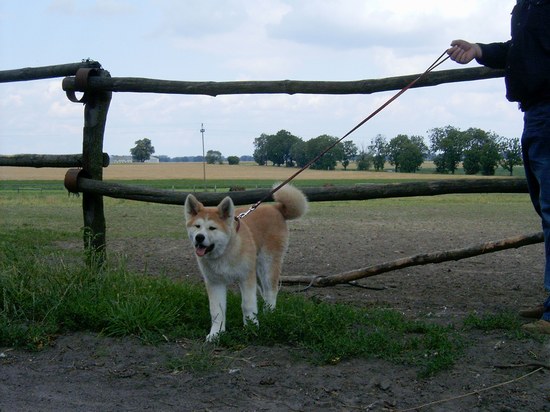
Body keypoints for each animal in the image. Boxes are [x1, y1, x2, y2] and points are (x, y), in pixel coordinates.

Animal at [184, 186, 306, 342]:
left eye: (212, 228)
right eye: (197, 226)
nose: (199, 237)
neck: (226, 251)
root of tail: (275, 208)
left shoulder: (246, 278)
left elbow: (248, 304)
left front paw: (251, 328)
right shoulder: (215, 282)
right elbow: (217, 310)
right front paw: (216, 333)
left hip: (267, 267)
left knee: (271, 291)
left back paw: (270, 315)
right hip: (257, 274)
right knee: (265, 292)